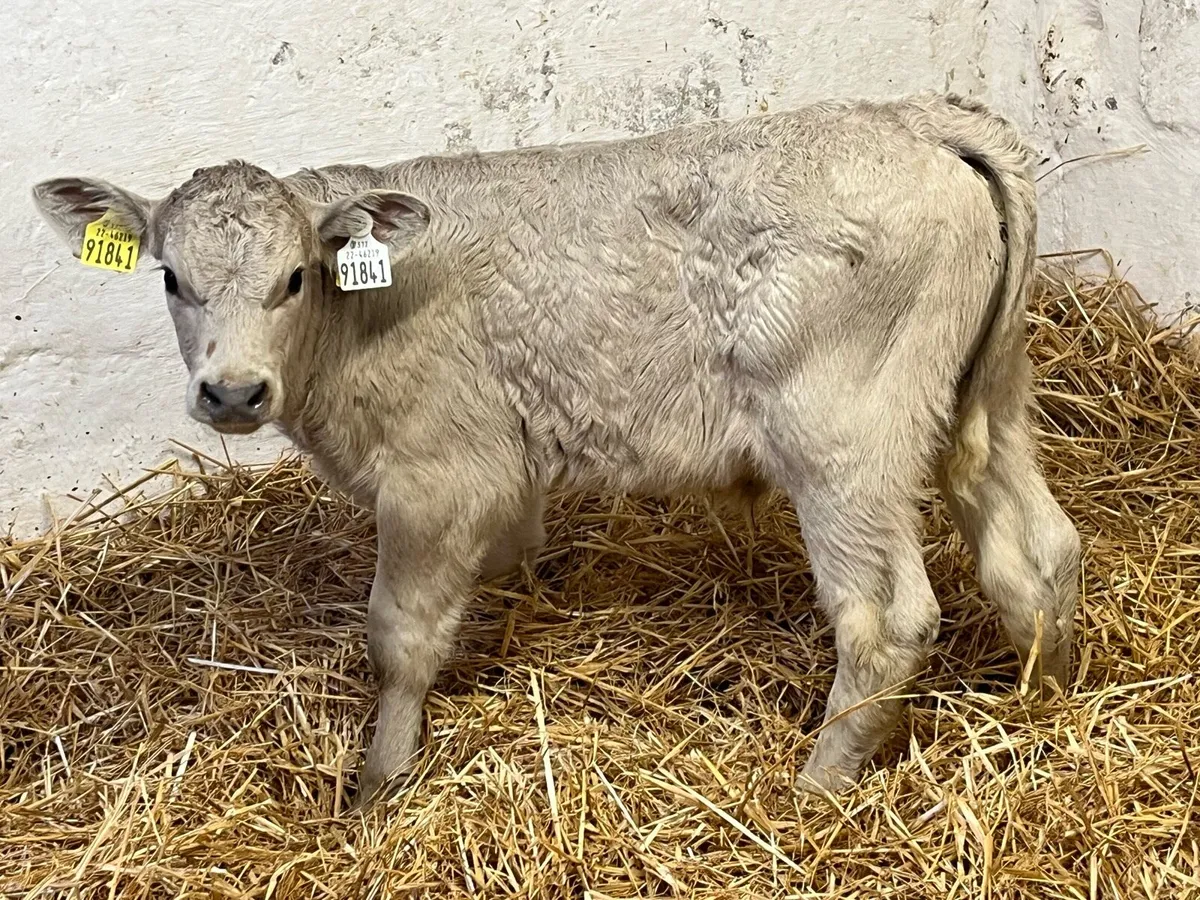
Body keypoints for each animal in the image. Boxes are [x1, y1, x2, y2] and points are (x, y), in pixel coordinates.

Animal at [32, 93, 1081, 809]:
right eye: (171, 276)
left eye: (295, 277)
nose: (234, 392)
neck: (360, 315)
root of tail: (916, 120)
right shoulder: (501, 475)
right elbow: (499, 570)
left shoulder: (438, 475)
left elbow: (398, 638)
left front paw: (378, 787)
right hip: (986, 400)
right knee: (1038, 551)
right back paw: (1049, 699)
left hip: (842, 438)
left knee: (886, 618)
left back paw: (813, 787)